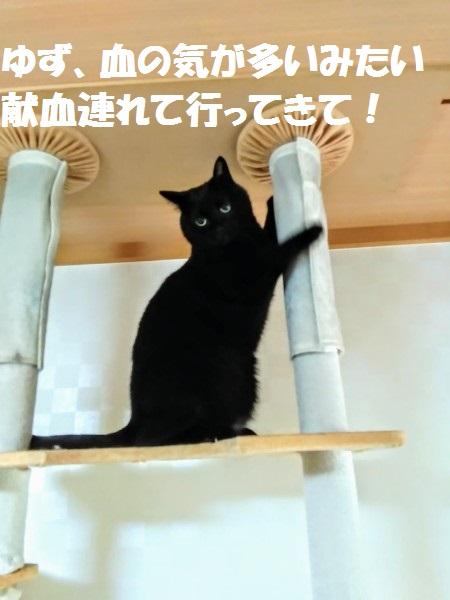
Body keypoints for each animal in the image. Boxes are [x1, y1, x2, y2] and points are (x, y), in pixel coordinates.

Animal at [30, 156, 322, 449]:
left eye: (225, 207)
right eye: (200, 221)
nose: (220, 228)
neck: (235, 247)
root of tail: (134, 421)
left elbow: (270, 235)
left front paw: (273, 202)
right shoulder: (254, 279)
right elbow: (279, 251)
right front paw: (312, 230)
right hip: (229, 370)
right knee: (152, 440)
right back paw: (217, 434)